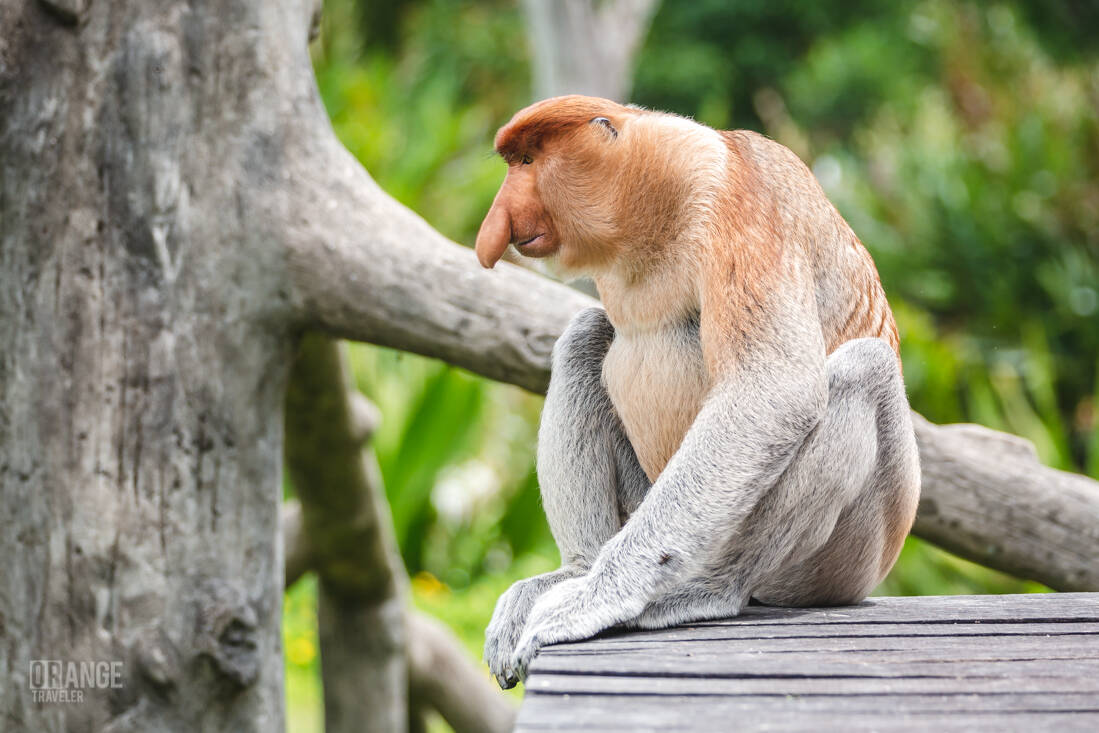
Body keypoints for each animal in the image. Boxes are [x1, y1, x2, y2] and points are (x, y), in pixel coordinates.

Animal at [474, 95, 921, 689]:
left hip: (843, 558)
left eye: (527, 161)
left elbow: (774, 387)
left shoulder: (741, 207)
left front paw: (594, 598)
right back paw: (574, 571)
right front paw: (576, 585)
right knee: (584, 336)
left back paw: (706, 590)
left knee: (862, 369)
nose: (495, 224)